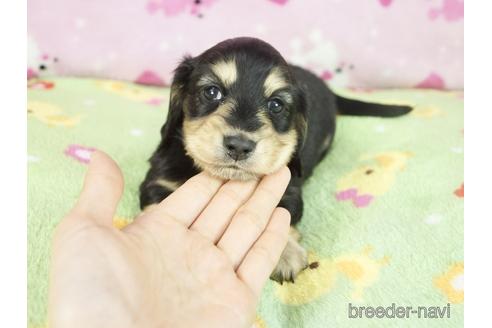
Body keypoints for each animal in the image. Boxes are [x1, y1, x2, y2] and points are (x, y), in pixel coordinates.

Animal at [139, 37, 412, 284]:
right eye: (212, 92)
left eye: (276, 105)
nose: (239, 146)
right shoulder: (158, 183)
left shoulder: (289, 188)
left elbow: (281, 215)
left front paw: (285, 254)